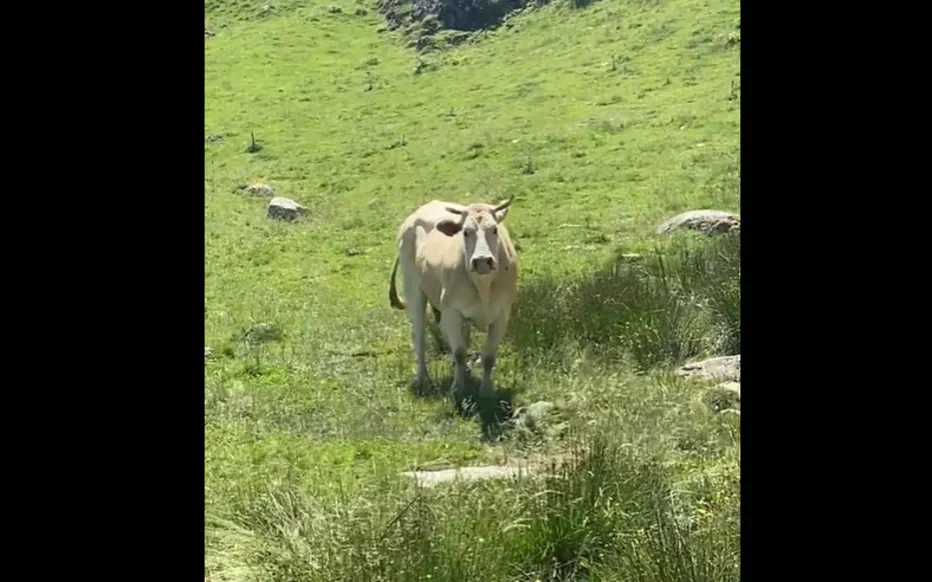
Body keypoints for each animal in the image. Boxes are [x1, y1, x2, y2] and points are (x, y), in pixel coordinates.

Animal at [389, 196, 519, 398]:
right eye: (465, 232)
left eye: (494, 229)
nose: (482, 261)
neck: (483, 286)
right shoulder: (451, 311)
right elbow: (459, 352)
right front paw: (458, 388)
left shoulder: (502, 314)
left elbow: (489, 356)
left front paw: (486, 391)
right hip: (414, 291)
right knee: (419, 336)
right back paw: (423, 379)